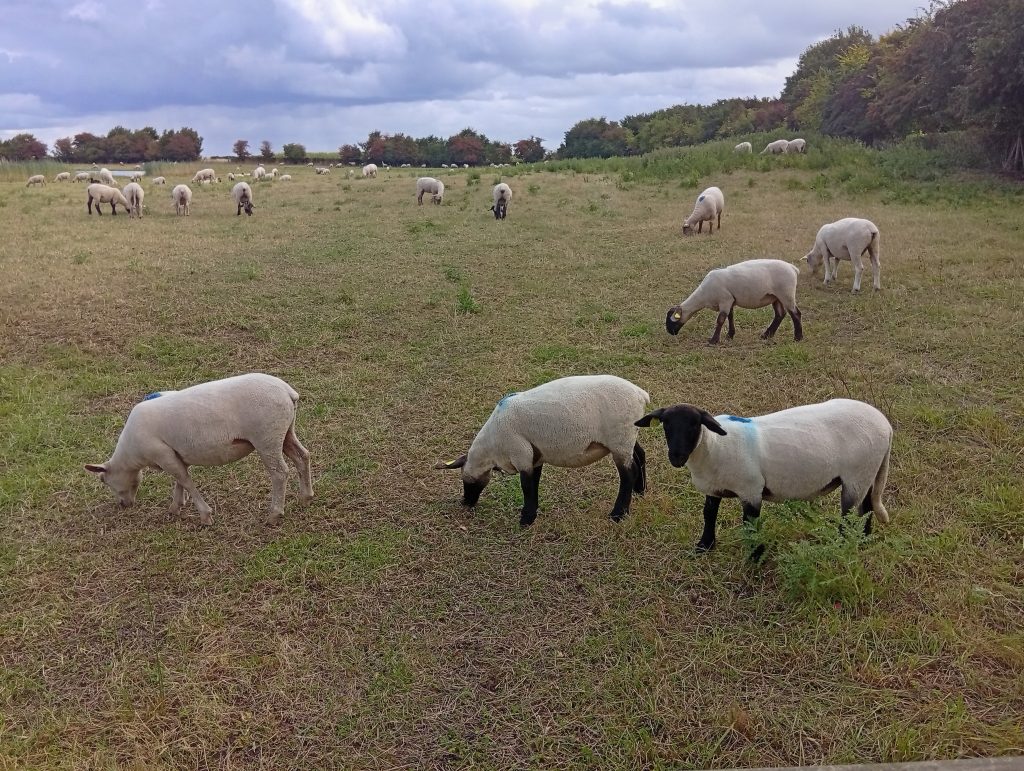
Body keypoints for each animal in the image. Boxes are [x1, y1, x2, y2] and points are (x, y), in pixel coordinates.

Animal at [84, 373, 313, 526]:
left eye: (103, 480)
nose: (123, 505)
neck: (132, 455)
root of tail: (287, 392)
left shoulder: (162, 453)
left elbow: (185, 480)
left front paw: (205, 515)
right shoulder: (173, 454)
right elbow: (179, 480)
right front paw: (176, 507)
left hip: (267, 437)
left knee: (279, 473)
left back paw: (275, 514)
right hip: (285, 432)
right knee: (302, 456)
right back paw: (306, 497)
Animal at [434, 375, 650, 527]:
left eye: (466, 481)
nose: (465, 502)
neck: (492, 447)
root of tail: (640, 394)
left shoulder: (521, 455)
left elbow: (527, 486)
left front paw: (526, 520)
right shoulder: (534, 456)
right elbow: (534, 483)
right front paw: (532, 513)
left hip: (619, 439)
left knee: (628, 473)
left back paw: (618, 513)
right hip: (627, 437)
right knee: (640, 456)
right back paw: (640, 491)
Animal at [635, 398, 892, 556]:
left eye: (694, 425)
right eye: (666, 426)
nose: (676, 457)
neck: (714, 446)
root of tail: (886, 425)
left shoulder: (751, 489)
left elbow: (750, 523)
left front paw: (755, 555)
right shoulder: (713, 488)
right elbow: (709, 515)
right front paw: (704, 546)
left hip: (857, 476)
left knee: (851, 514)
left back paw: (842, 545)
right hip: (867, 475)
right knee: (867, 508)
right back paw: (863, 539)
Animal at [666, 259, 803, 345]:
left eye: (670, 321)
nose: (670, 332)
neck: (703, 295)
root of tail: (793, 268)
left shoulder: (725, 300)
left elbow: (720, 320)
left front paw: (713, 340)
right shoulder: (730, 301)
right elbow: (730, 317)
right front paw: (730, 335)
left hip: (786, 294)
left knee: (795, 314)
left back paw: (798, 338)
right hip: (776, 297)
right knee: (780, 314)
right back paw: (767, 335)